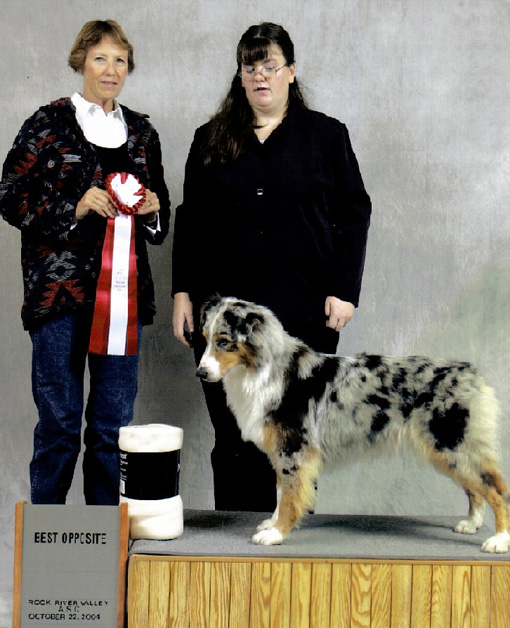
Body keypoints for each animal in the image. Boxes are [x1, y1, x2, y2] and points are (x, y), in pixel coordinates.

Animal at [196, 296, 510, 552]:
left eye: (223, 341)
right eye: (204, 338)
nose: (201, 372)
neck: (265, 369)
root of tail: (471, 374)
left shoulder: (294, 450)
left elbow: (289, 496)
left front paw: (276, 534)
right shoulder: (282, 451)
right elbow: (280, 491)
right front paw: (272, 524)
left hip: (453, 445)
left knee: (495, 489)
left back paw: (499, 540)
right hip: (449, 450)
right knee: (475, 488)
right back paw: (471, 524)